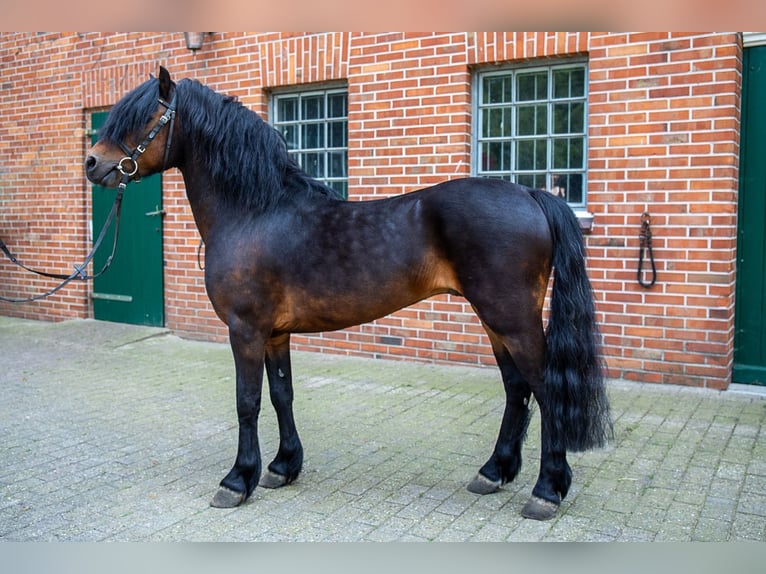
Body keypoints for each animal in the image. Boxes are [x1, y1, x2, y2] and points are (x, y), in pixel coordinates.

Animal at [85, 66, 612, 520]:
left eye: (142, 118)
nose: (93, 163)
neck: (254, 212)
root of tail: (532, 195)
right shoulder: (275, 334)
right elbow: (282, 394)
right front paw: (283, 467)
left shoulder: (246, 330)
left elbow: (247, 402)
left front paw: (238, 480)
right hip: (495, 321)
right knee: (517, 389)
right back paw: (493, 472)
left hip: (511, 319)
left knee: (546, 390)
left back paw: (547, 491)